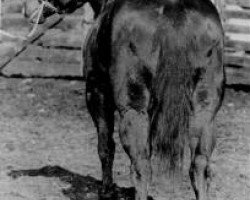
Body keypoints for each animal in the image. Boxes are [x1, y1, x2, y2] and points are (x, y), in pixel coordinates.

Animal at [35, 0, 225, 200]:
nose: (36, 10)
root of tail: (174, 10)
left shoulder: (97, 92)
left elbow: (106, 145)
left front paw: (107, 191)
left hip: (133, 109)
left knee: (141, 165)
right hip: (203, 111)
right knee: (199, 164)